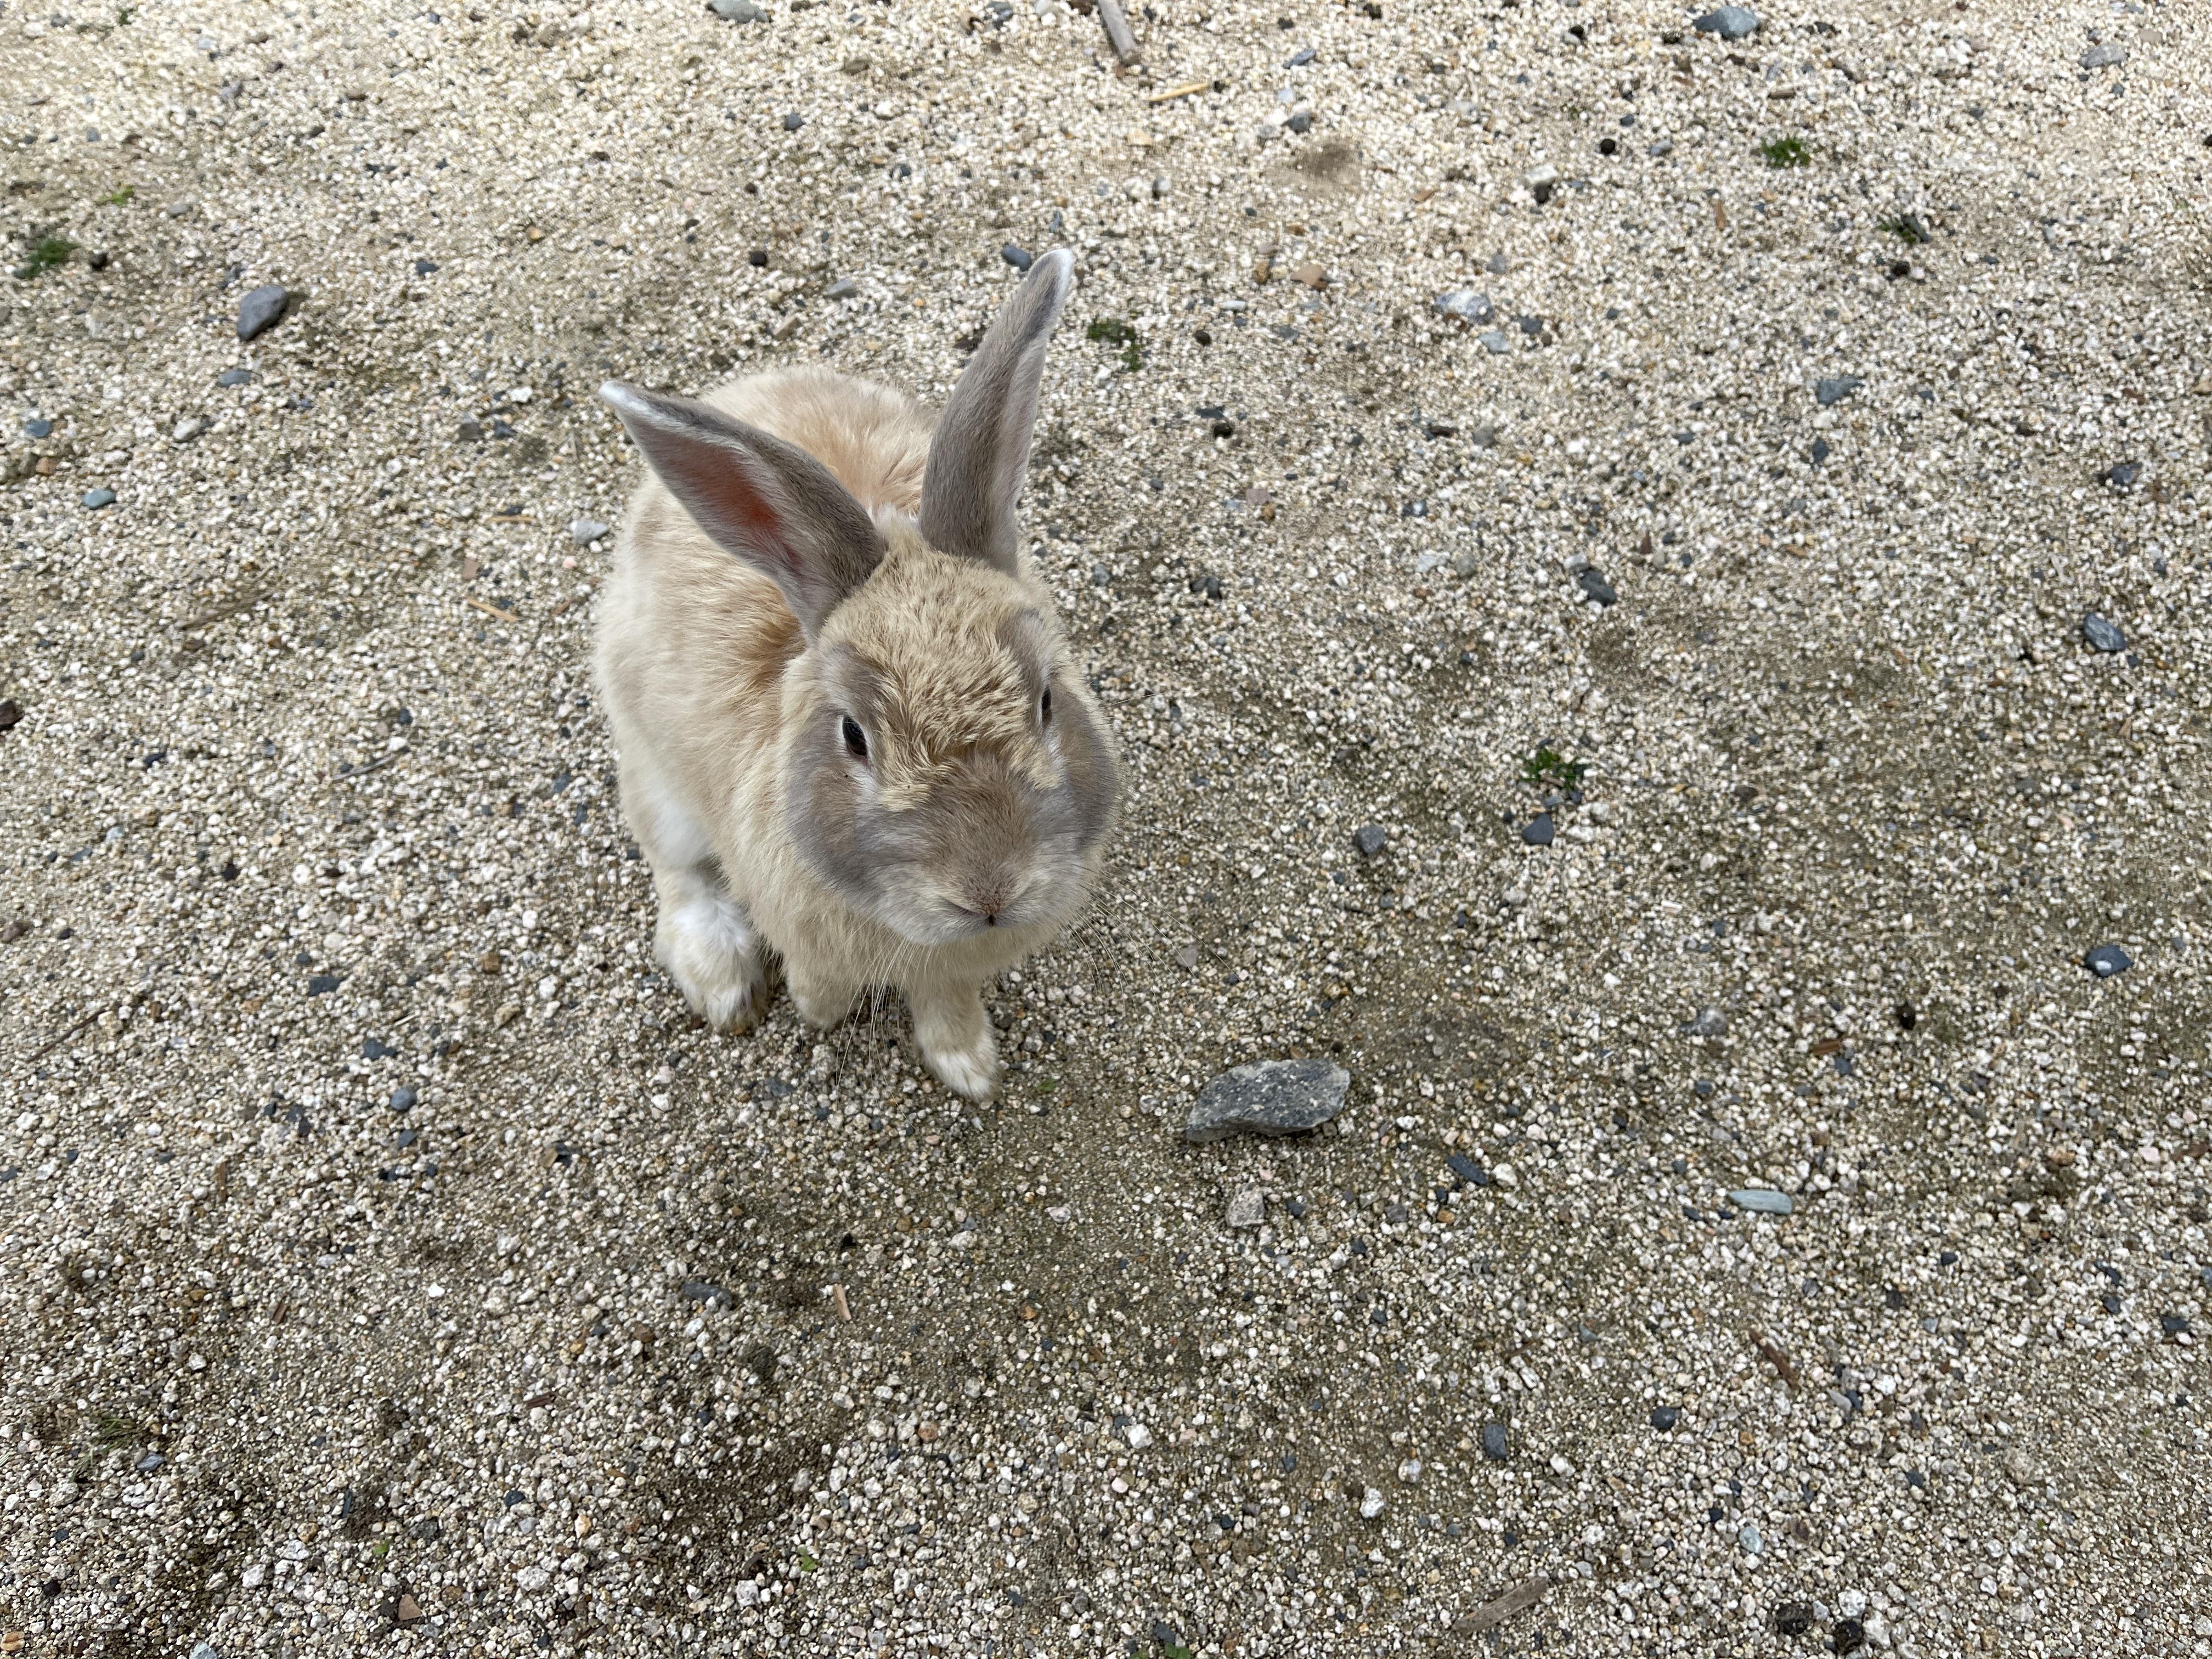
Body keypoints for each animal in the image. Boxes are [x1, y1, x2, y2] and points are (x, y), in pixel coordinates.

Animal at [592, 249, 1118, 1101]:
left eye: (1046, 699)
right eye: (853, 735)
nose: (991, 893)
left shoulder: (953, 969)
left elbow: (949, 999)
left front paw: (970, 1069)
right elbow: (819, 978)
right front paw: (819, 1013)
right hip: (652, 769)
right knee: (676, 871)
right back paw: (722, 980)